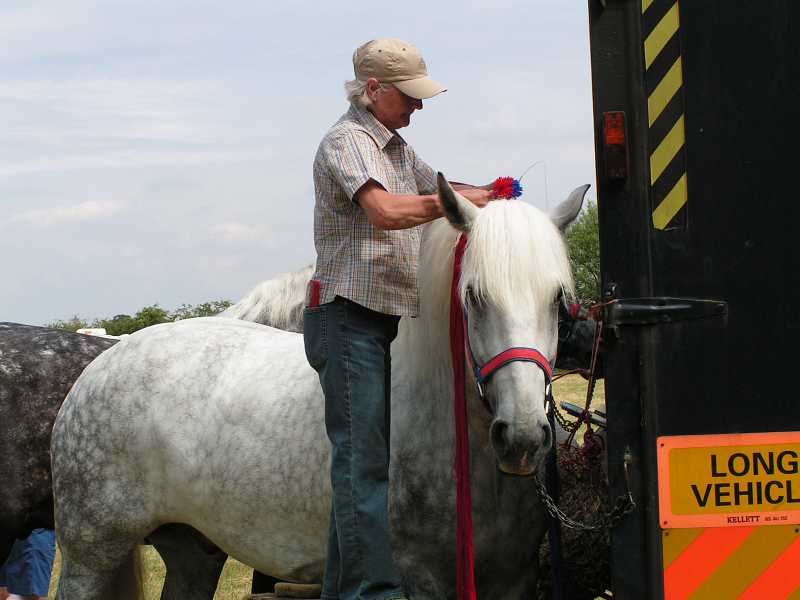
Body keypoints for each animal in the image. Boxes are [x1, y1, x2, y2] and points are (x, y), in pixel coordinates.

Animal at [51, 176, 588, 596]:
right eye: (474, 296)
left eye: (557, 298)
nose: (521, 436)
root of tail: (100, 364)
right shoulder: (423, 577)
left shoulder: (514, 578)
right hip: (89, 556)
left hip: (192, 551)